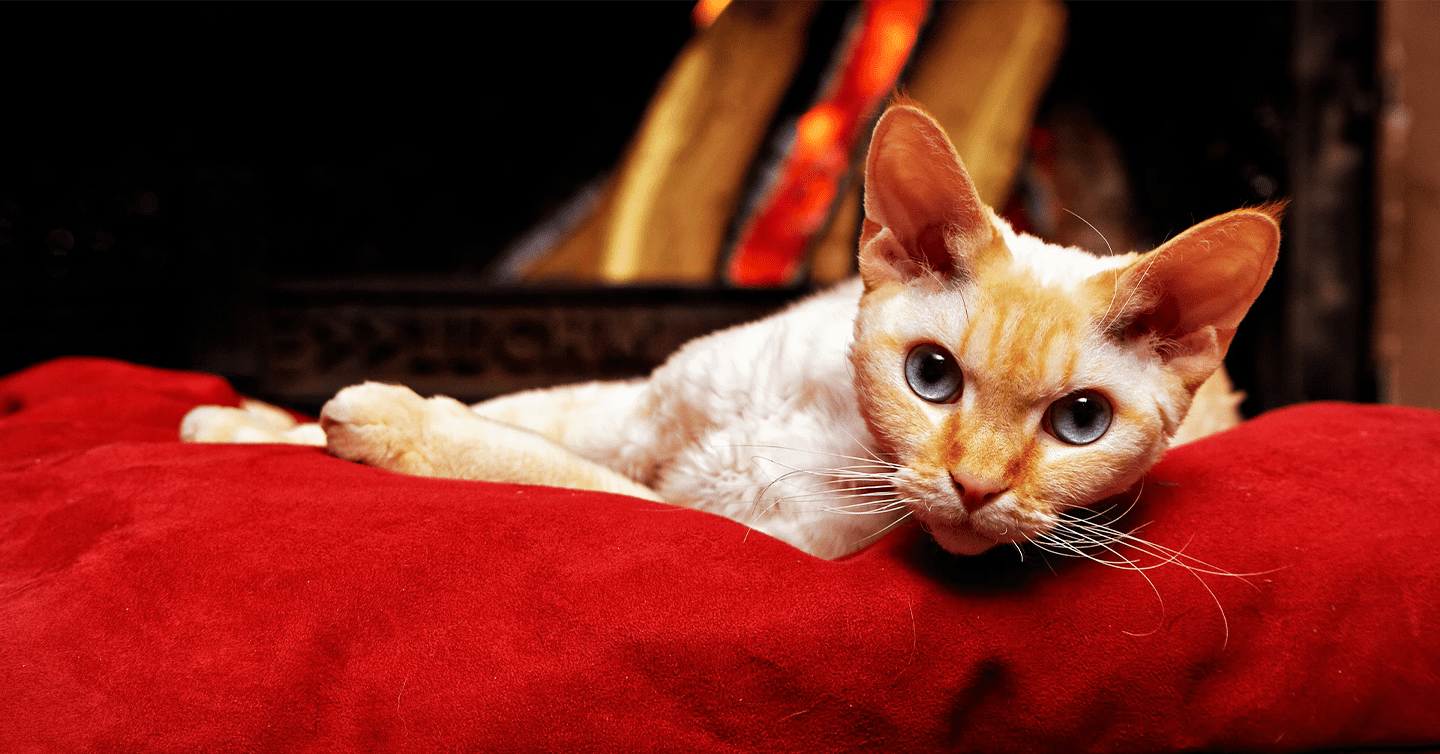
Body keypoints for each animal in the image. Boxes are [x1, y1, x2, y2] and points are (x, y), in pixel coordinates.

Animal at [182, 104, 1284, 558]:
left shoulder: (726, 528)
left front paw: (386, 422)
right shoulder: (635, 408)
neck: (826, 431)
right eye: (932, 376)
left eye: (1079, 424)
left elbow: (533, 463)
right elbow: (520, 414)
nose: (974, 490)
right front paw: (242, 426)